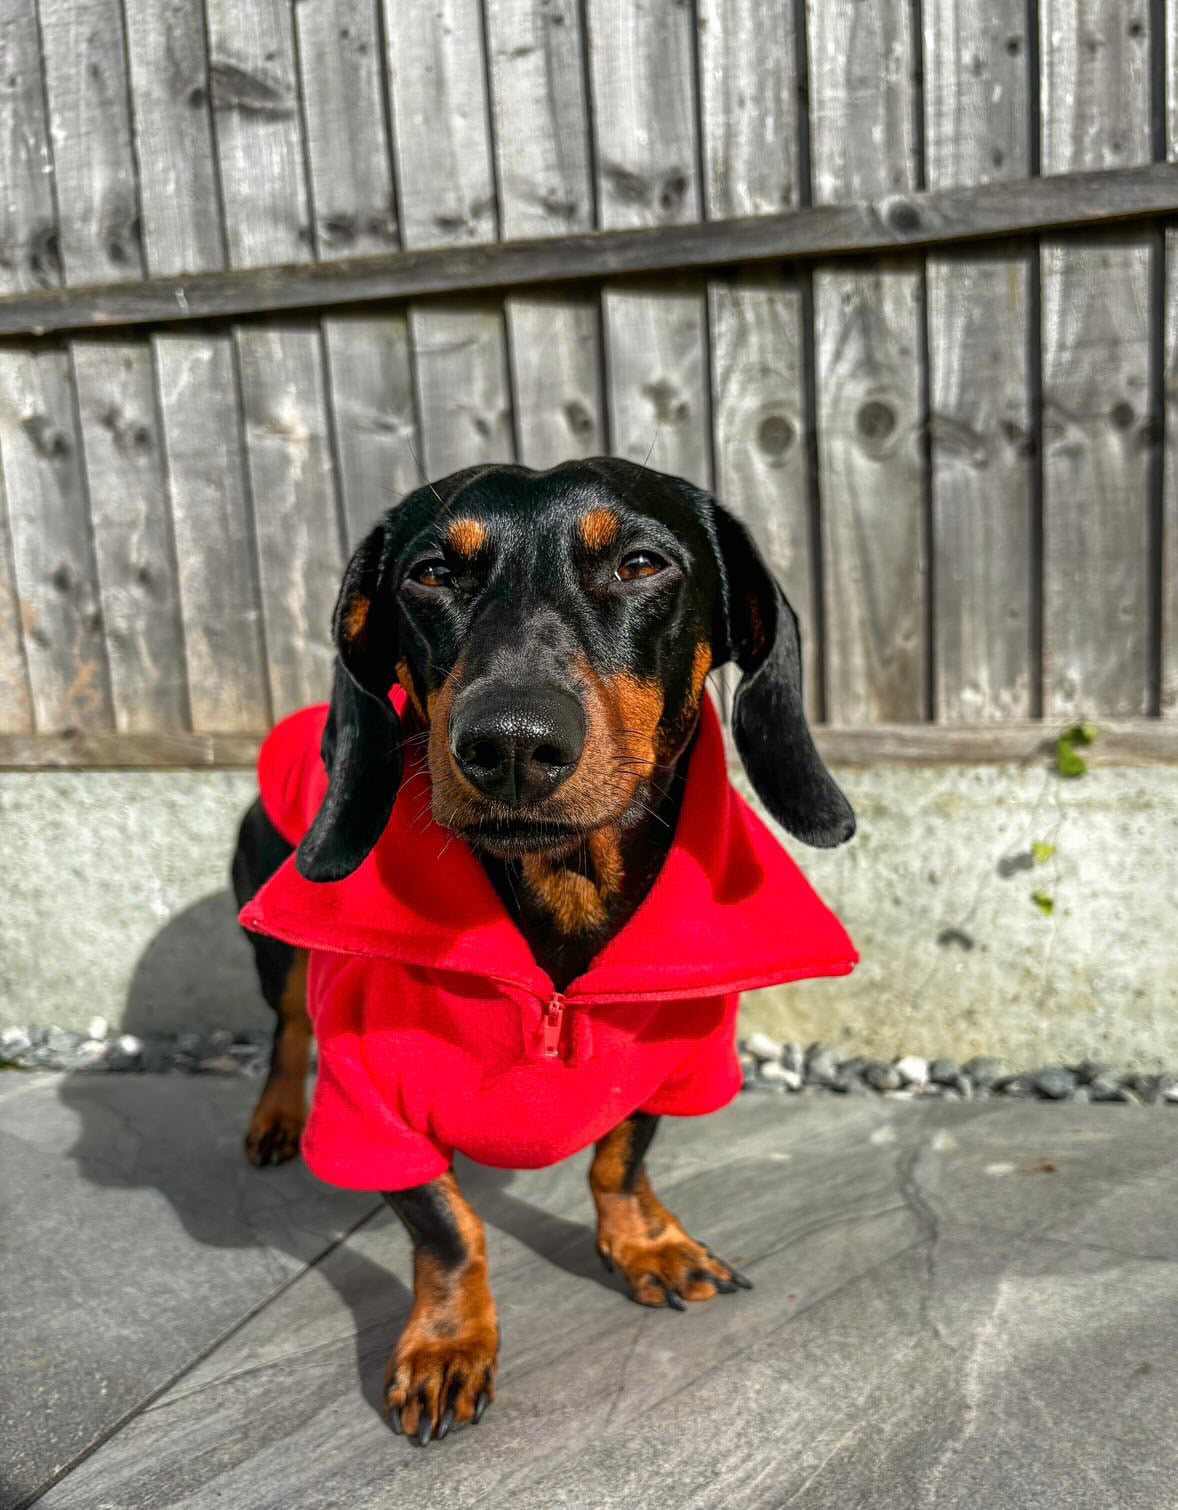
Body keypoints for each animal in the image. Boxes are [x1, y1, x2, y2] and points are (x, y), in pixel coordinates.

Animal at [232, 453, 857, 1443]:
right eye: (431, 574)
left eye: (641, 564)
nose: (512, 745)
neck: (562, 901)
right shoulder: (370, 1107)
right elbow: (448, 1228)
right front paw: (449, 1342)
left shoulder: (672, 1056)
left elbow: (620, 1156)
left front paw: (646, 1244)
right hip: (274, 943)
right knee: (291, 1028)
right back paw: (274, 1119)